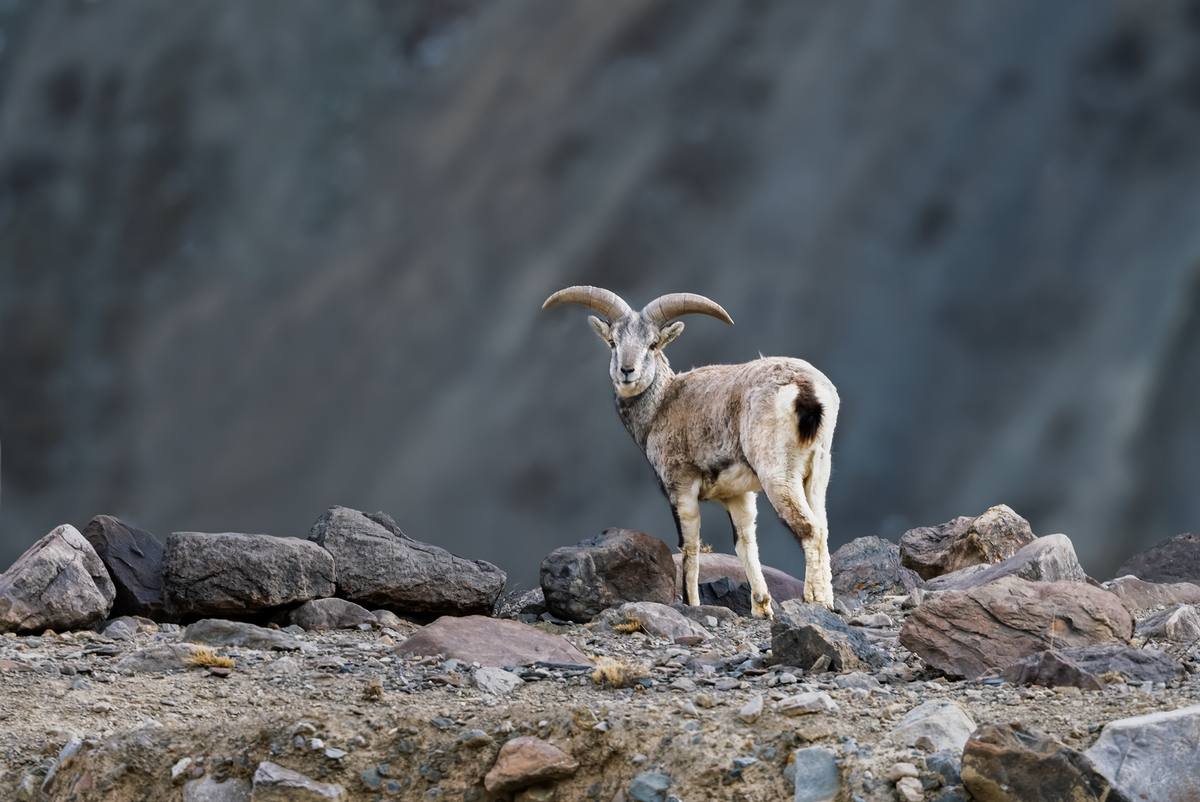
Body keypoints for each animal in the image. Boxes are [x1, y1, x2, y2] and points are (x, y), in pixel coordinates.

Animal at [542, 285, 839, 614]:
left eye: (652, 344)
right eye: (613, 342)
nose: (626, 371)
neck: (661, 405)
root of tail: (805, 390)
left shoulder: (680, 486)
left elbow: (690, 546)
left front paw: (692, 603)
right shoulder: (738, 495)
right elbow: (745, 543)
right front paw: (761, 607)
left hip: (778, 473)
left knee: (809, 530)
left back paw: (817, 601)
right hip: (817, 472)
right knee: (822, 527)